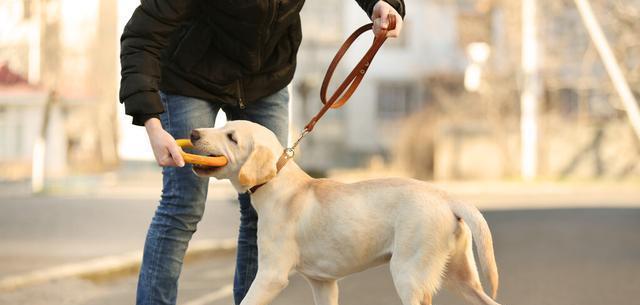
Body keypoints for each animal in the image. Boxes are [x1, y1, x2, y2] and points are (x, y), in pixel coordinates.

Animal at [189, 120, 500, 302]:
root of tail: (447, 196)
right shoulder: (323, 283)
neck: (279, 184)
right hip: (459, 277)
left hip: (409, 275)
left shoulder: (271, 275)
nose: (193, 134)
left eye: (231, 137)